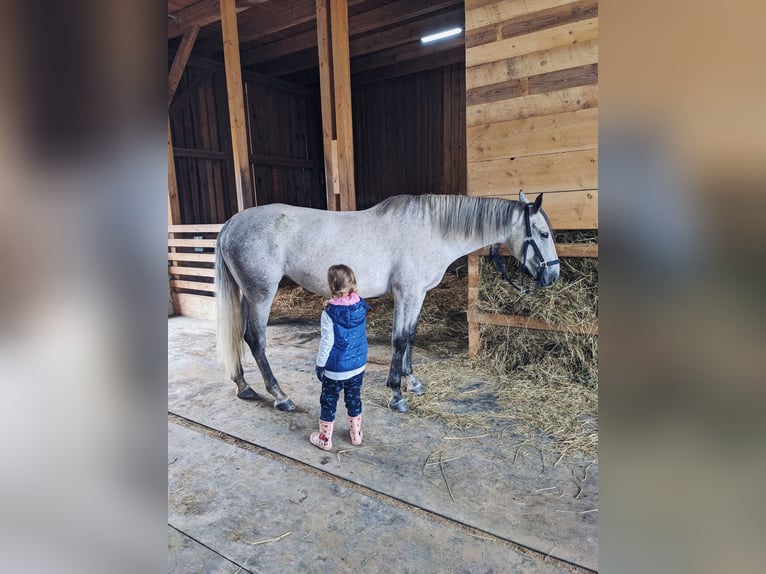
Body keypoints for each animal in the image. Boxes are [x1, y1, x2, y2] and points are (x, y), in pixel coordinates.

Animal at [213, 192, 560, 414]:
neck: (431, 230)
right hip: (261, 293)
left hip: (246, 294)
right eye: (543, 234)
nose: (553, 276)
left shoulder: (416, 294)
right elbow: (399, 340)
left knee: (239, 338)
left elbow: (410, 336)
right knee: (256, 340)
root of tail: (231, 224)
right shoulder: (407, 292)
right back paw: (280, 396)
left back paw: (243, 386)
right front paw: (396, 394)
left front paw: (412, 382)